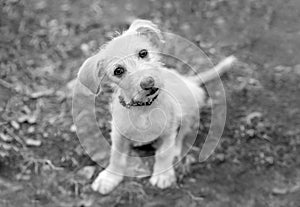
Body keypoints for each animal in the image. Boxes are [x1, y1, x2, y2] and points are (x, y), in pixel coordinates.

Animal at [77, 19, 237, 194]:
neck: (143, 108)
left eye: (143, 53)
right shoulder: (118, 133)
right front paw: (110, 178)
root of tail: (187, 80)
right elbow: (116, 156)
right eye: (118, 71)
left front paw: (163, 175)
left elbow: (164, 154)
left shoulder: (167, 131)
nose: (148, 83)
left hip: (189, 107)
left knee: (184, 130)